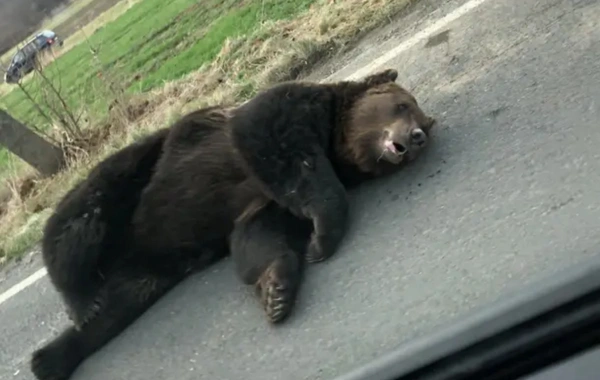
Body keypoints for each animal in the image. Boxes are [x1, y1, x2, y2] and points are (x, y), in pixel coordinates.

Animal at [31, 70, 436, 380]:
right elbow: (275, 142)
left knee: (122, 302)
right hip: (132, 182)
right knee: (80, 220)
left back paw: (51, 357)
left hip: (152, 268)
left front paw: (276, 290)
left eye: (421, 119)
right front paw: (323, 236)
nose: (416, 136)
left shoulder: (265, 204)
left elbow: (257, 236)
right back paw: (80, 300)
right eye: (402, 104)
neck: (337, 143)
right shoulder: (284, 116)